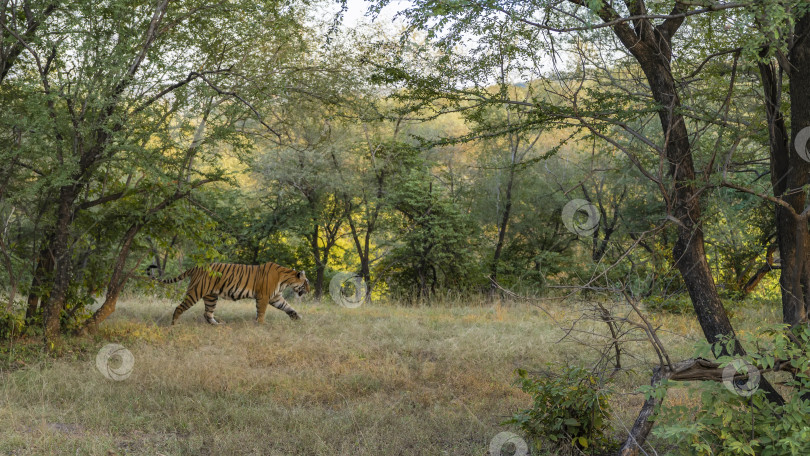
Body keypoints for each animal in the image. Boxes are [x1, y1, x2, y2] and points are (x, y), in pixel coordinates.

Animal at [145, 260, 310, 324]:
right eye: (306, 283)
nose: (309, 290)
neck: (285, 280)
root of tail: (197, 266)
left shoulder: (276, 297)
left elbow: (289, 307)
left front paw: (298, 319)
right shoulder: (264, 297)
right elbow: (261, 312)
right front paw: (261, 324)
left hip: (211, 297)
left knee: (207, 313)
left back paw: (218, 325)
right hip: (195, 292)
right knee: (179, 308)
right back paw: (174, 325)